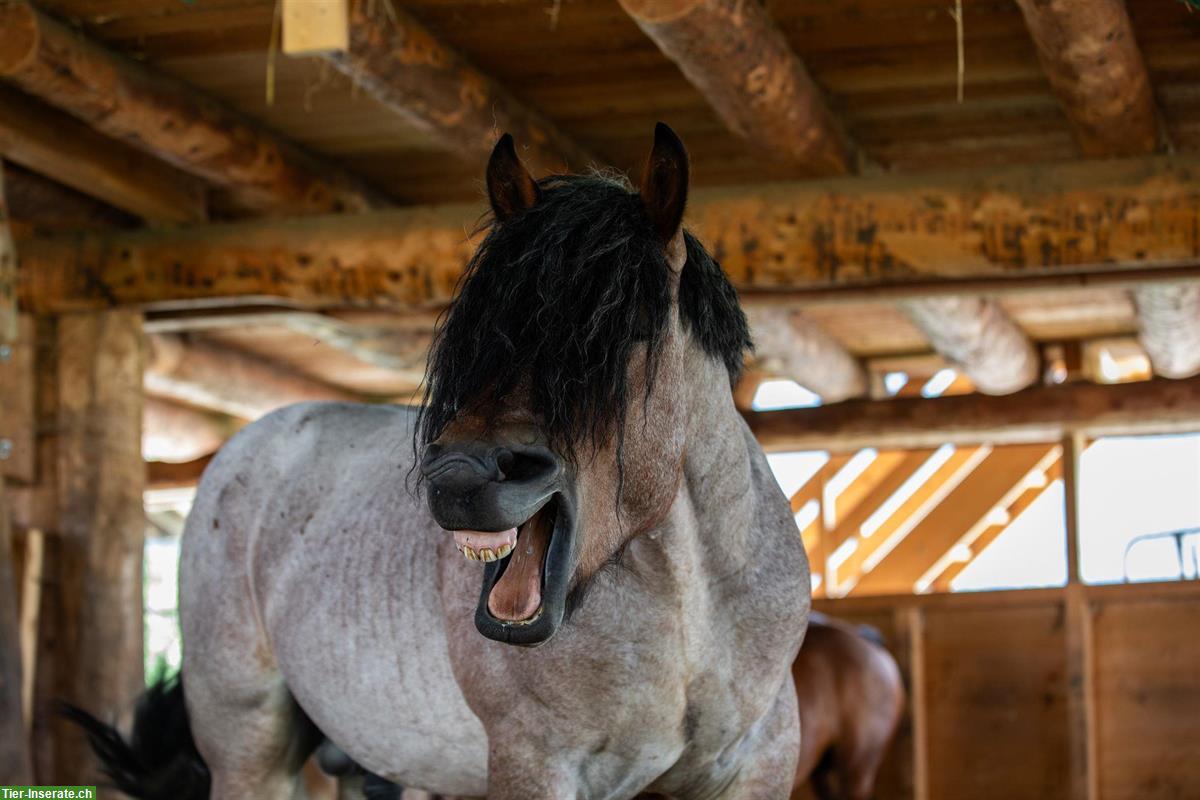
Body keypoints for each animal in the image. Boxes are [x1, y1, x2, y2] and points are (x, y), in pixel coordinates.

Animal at [70, 125, 811, 800]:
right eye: (477, 335)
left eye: (626, 330)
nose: (462, 477)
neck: (694, 610)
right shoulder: (536, 764)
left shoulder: (760, 761)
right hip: (250, 752)